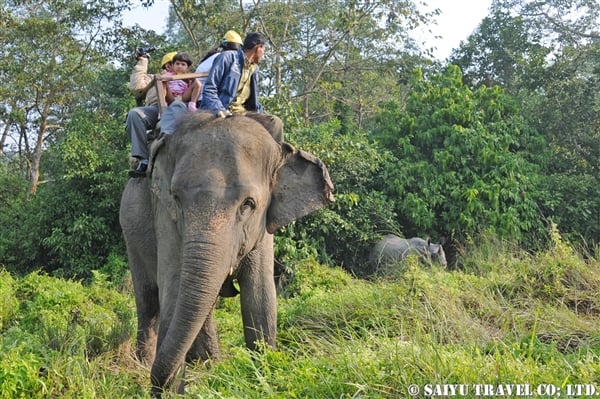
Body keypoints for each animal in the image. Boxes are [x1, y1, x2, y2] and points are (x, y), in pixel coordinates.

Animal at [117, 112, 332, 396]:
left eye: (248, 204)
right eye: (176, 198)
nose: (159, 388)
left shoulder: (263, 229)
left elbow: (260, 296)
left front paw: (263, 376)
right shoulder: (164, 215)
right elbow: (173, 289)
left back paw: (208, 365)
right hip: (130, 230)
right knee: (149, 301)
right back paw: (147, 364)